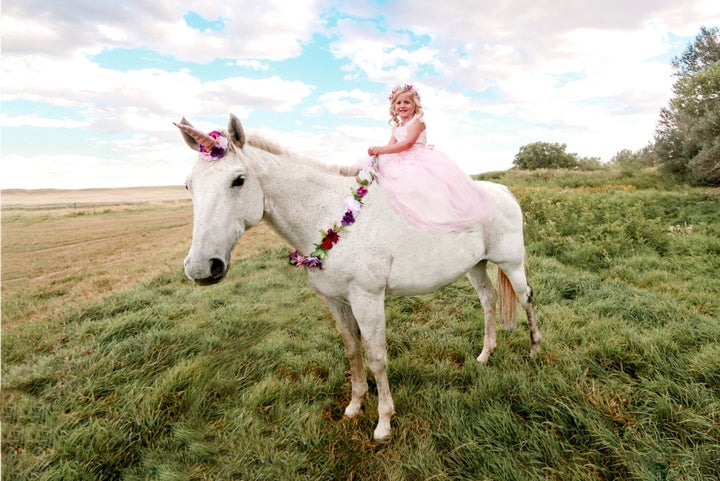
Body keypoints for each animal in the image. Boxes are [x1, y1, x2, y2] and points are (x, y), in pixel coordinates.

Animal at [179, 113, 540, 438]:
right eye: (188, 185)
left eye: (238, 180)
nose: (201, 267)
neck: (329, 216)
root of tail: (503, 191)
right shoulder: (336, 302)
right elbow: (353, 350)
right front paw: (355, 405)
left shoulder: (368, 300)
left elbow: (377, 357)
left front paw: (384, 422)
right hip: (475, 266)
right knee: (489, 300)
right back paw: (485, 354)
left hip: (510, 263)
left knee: (526, 297)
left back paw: (535, 350)